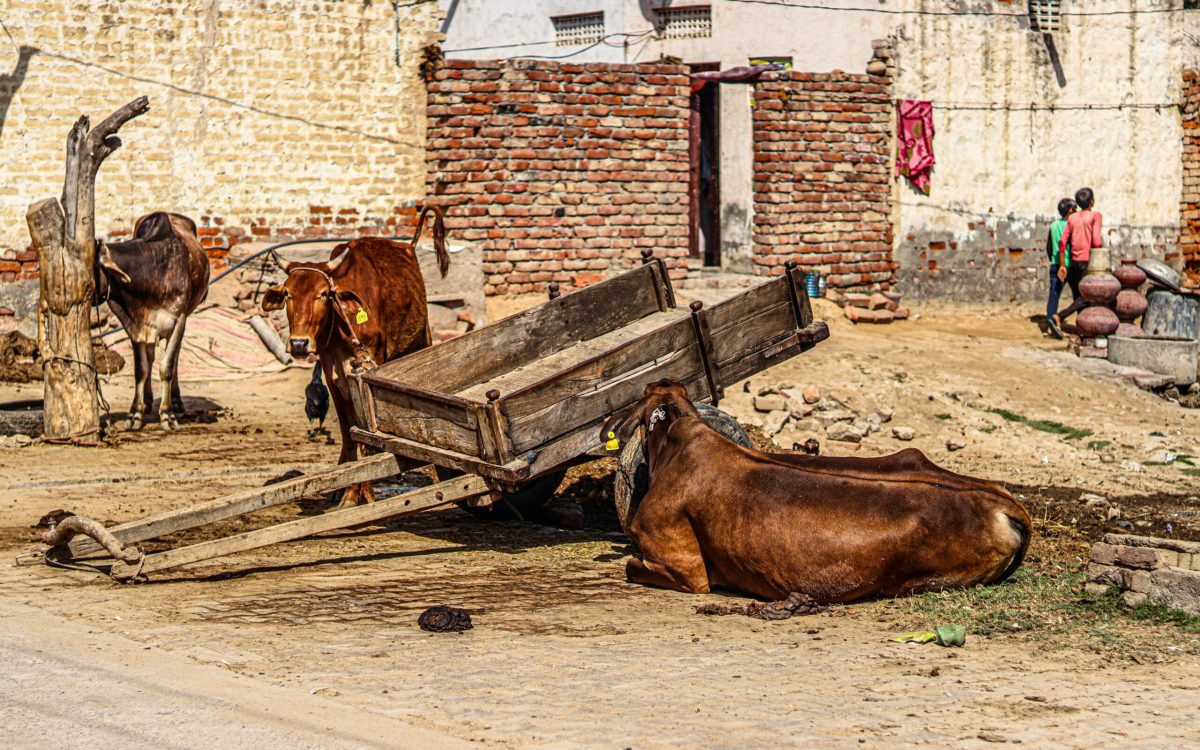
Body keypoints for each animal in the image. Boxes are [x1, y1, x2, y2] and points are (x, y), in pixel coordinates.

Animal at [99, 213, 212, 429]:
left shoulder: (179, 320)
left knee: (173, 358)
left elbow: (167, 366)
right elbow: (141, 369)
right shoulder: (135, 326)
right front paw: (135, 413)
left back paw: (175, 401)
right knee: (151, 357)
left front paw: (167, 415)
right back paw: (148, 400)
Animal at [262, 207, 451, 506]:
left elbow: (367, 439)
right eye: (288, 294)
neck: (343, 324)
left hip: (421, 339)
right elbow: (349, 434)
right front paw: (350, 492)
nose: (299, 343)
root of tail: (408, 246)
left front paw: (367, 493)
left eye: (323, 294)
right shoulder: (333, 377)